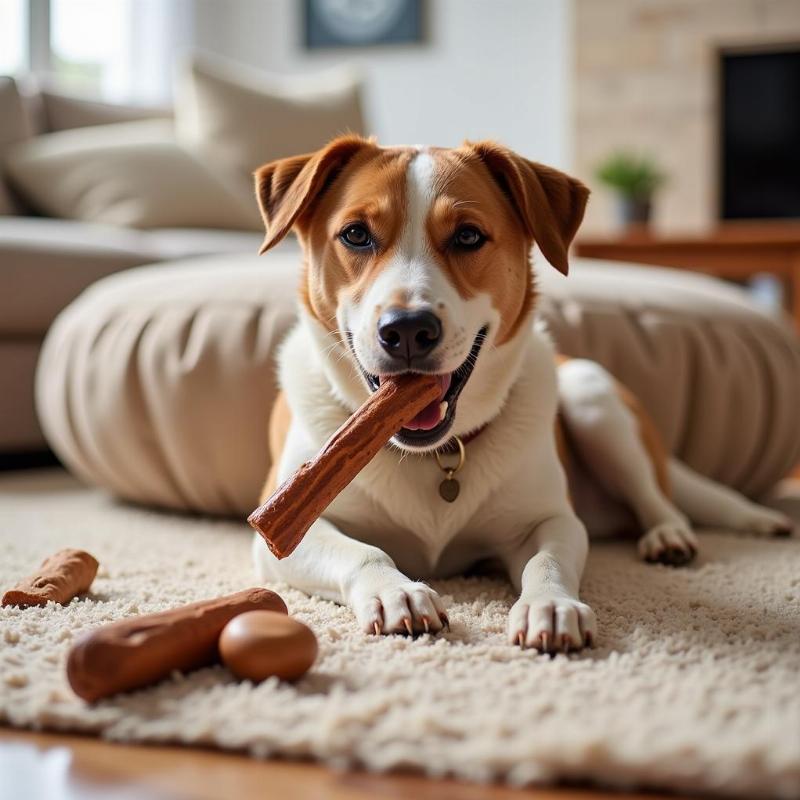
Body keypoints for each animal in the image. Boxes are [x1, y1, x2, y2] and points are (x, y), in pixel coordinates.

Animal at [252, 136, 792, 648]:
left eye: (468, 235)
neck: (436, 456)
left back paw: (667, 537)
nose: (407, 329)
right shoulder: (285, 531)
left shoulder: (552, 519)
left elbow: (546, 561)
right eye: (356, 235)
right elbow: (362, 552)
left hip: (592, 397)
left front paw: (550, 606)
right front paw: (396, 591)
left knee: (658, 498)